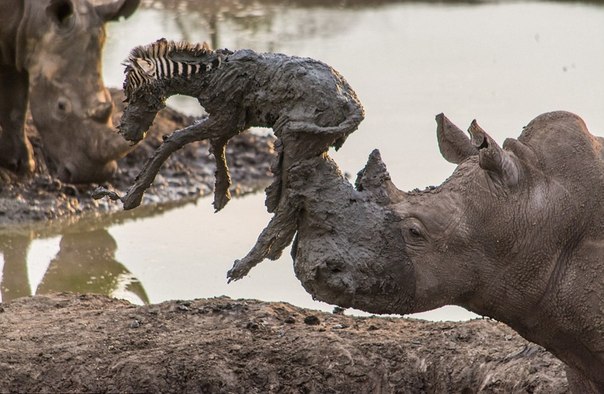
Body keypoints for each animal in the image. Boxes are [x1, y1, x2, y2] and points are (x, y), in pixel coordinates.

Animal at [98, 37, 364, 212]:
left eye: (135, 94)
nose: (125, 132)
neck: (208, 75)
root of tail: (353, 102)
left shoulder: (224, 117)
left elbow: (173, 141)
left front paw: (130, 198)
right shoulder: (232, 122)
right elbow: (216, 145)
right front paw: (222, 194)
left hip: (302, 139)